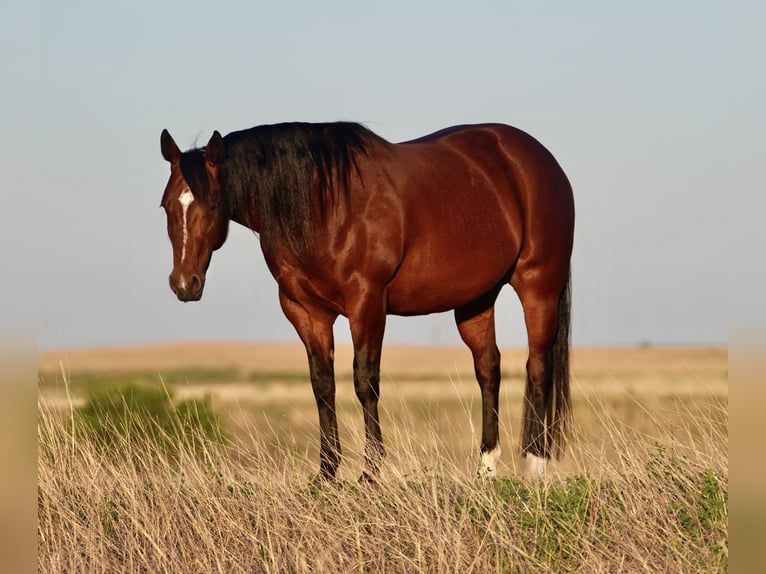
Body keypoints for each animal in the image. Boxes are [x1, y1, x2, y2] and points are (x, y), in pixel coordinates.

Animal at [159, 121, 572, 482]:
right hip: (476, 299)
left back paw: (534, 467)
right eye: (166, 206)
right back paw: (486, 469)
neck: (323, 204)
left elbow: (364, 381)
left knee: (538, 368)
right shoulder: (306, 312)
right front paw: (326, 472)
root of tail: (539, 158)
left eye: (213, 206)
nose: (184, 284)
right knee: (489, 370)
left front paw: (370, 472)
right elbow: (322, 385)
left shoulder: (367, 304)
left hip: (538, 287)